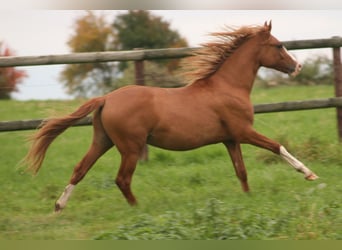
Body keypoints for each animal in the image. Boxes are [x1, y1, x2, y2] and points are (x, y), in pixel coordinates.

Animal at [24, 22, 318, 212]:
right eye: (278, 45)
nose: (297, 67)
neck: (227, 87)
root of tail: (106, 98)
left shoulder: (231, 139)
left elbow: (241, 171)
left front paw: (248, 199)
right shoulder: (244, 132)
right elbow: (277, 147)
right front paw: (310, 175)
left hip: (102, 141)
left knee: (80, 169)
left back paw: (59, 206)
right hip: (130, 147)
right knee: (122, 179)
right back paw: (137, 208)